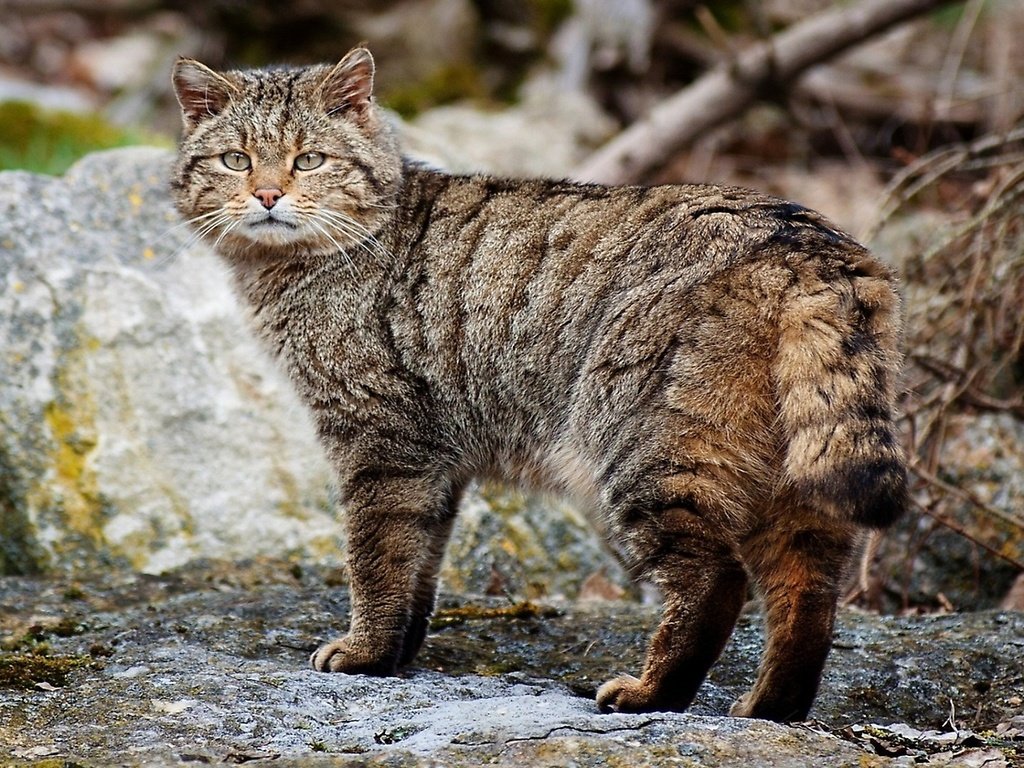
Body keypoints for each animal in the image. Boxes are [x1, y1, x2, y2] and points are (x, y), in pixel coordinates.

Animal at [172, 49, 909, 729]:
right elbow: (420, 564)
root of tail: (809, 246)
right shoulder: (437, 460)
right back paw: (770, 707)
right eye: (236, 160)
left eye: (310, 160)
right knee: (809, 596)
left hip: (644, 451)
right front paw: (398, 653)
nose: (267, 195)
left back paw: (652, 693)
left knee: (715, 581)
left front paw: (365, 652)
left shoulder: (380, 442)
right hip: (792, 482)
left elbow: (378, 556)